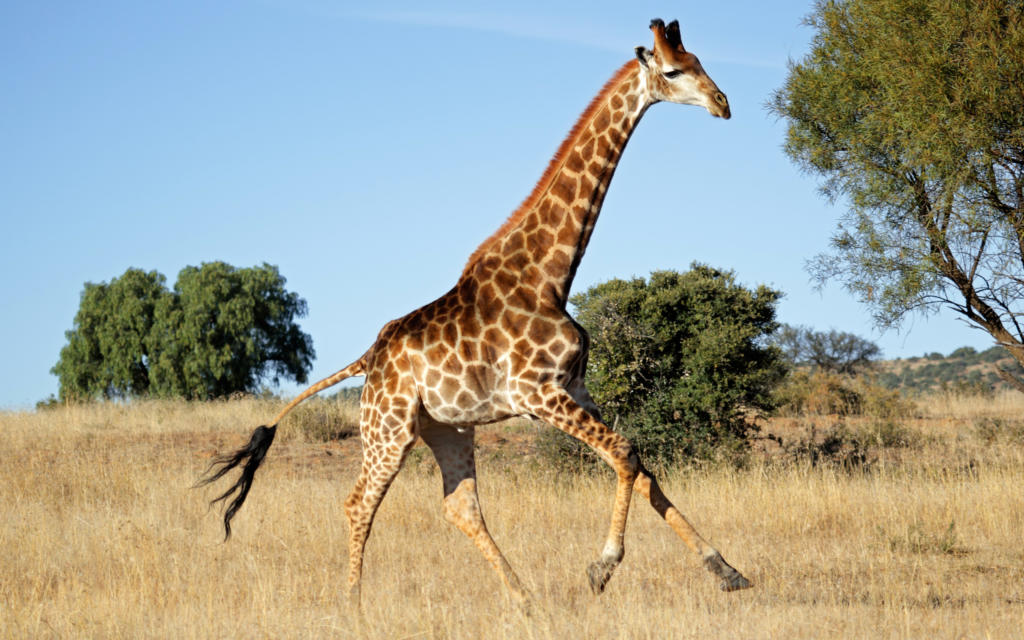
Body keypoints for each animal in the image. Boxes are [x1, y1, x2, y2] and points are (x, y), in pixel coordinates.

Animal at [199, 18, 749, 602]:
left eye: (698, 61)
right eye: (674, 70)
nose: (722, 103)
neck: (551, 275)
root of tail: (368, 358)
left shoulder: (574, 388)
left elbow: (642, 469)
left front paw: (726, 570)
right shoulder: (538, 393)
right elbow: (625, 454)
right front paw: (601, 568)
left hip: (447, 429)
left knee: (459, 507)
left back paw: (525, 601)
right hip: (388, 429)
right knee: (359, 503)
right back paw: (355, 606)